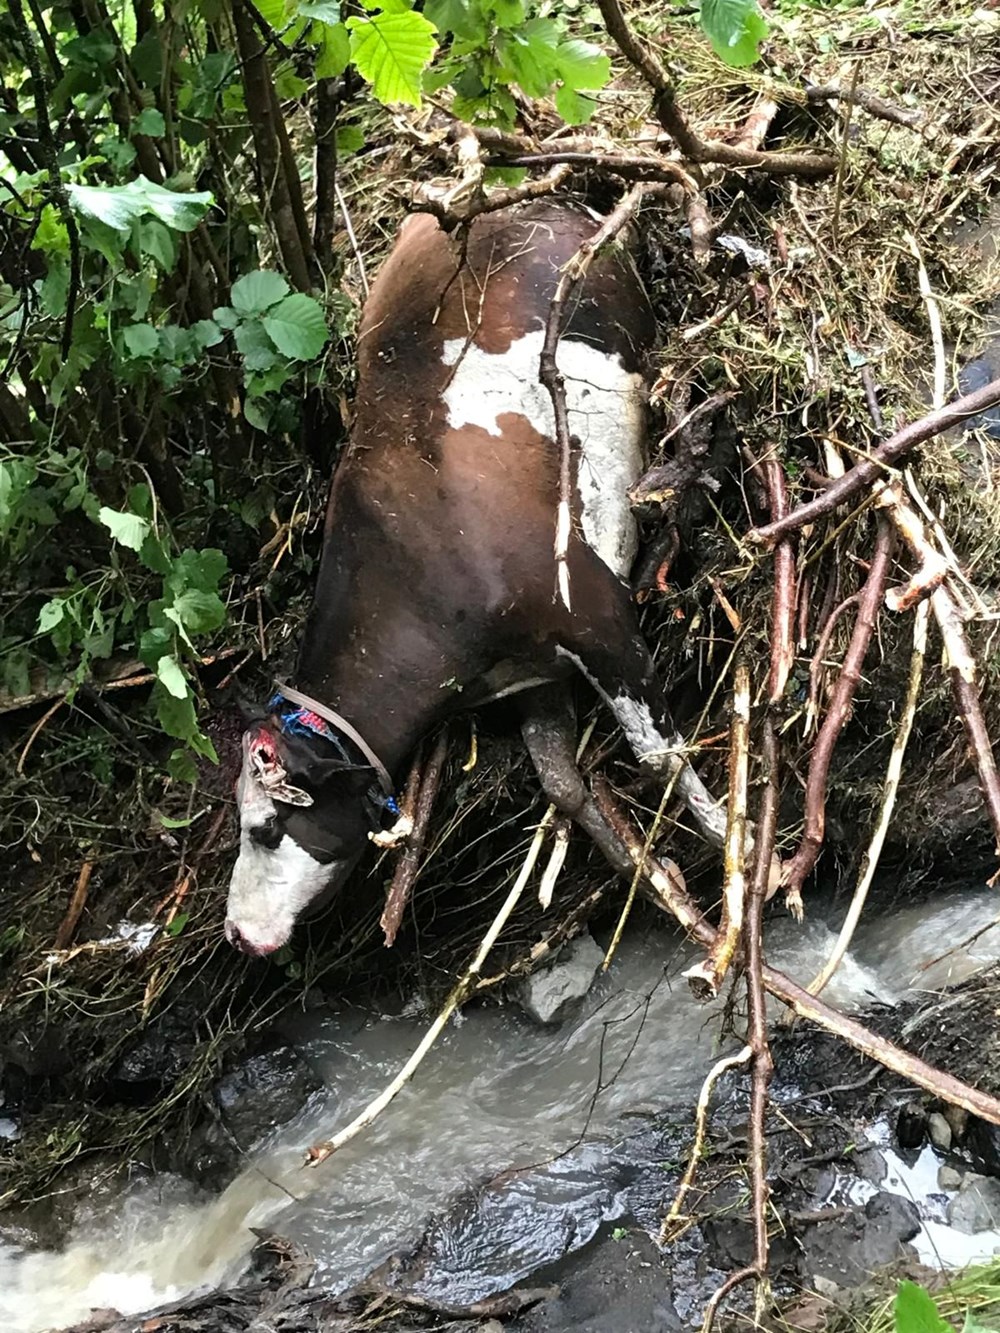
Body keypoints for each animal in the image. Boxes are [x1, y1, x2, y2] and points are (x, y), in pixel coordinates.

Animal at [225, 199, 730, 959]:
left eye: (263, 827)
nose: (235, 931)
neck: (416, 575)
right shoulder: (535, 679)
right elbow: (564, 784)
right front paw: (661, 888)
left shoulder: (592, 611)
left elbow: (658, 753)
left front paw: (742, 856)